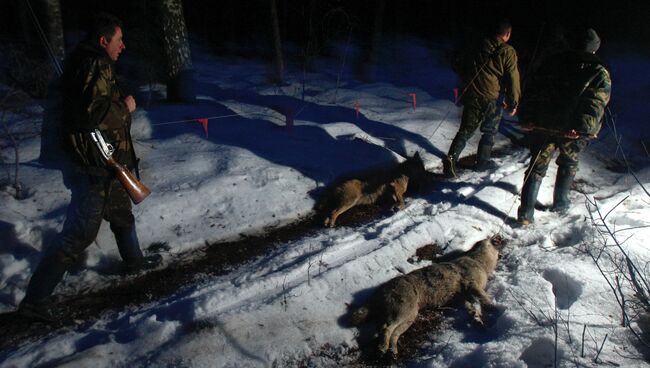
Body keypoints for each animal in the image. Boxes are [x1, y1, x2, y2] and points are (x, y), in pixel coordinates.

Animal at [350, 239, 496, 356]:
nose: (496, 246)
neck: (477, 260)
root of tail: (382, 288)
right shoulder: (472, 285)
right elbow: (484, 298)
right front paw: (494, 307)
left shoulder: (467, 296)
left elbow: (474, 308)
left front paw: (479, 322)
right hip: (403, 311)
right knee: (386, 328)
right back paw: (383, 348)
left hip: (409, 316)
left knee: (393, 332)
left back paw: (393, 351)